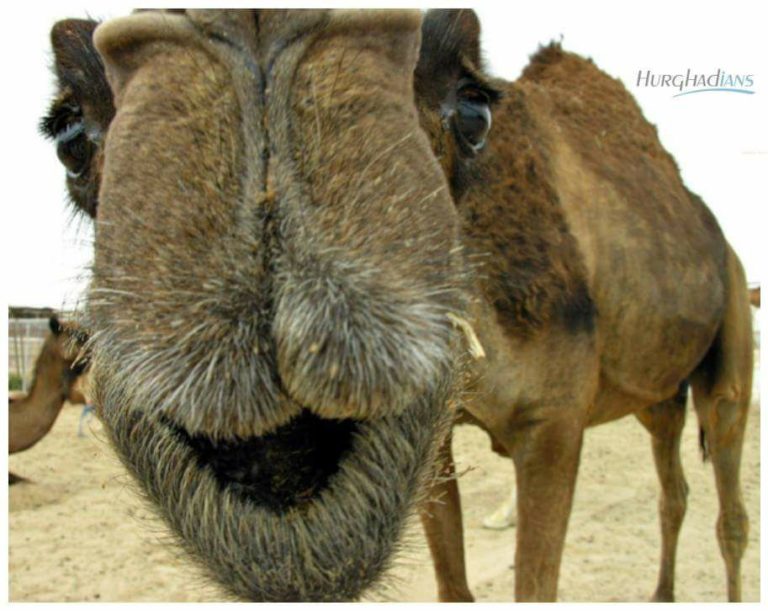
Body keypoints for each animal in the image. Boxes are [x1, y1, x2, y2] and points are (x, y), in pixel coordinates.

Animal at [41, 10, 752, 602]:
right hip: (660, 395)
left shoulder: (553, 419)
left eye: (473, 110)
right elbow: (454, 585)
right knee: (673, 487)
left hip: (734, 327)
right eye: (70, 132)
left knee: (730, 504)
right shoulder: (437, 445)